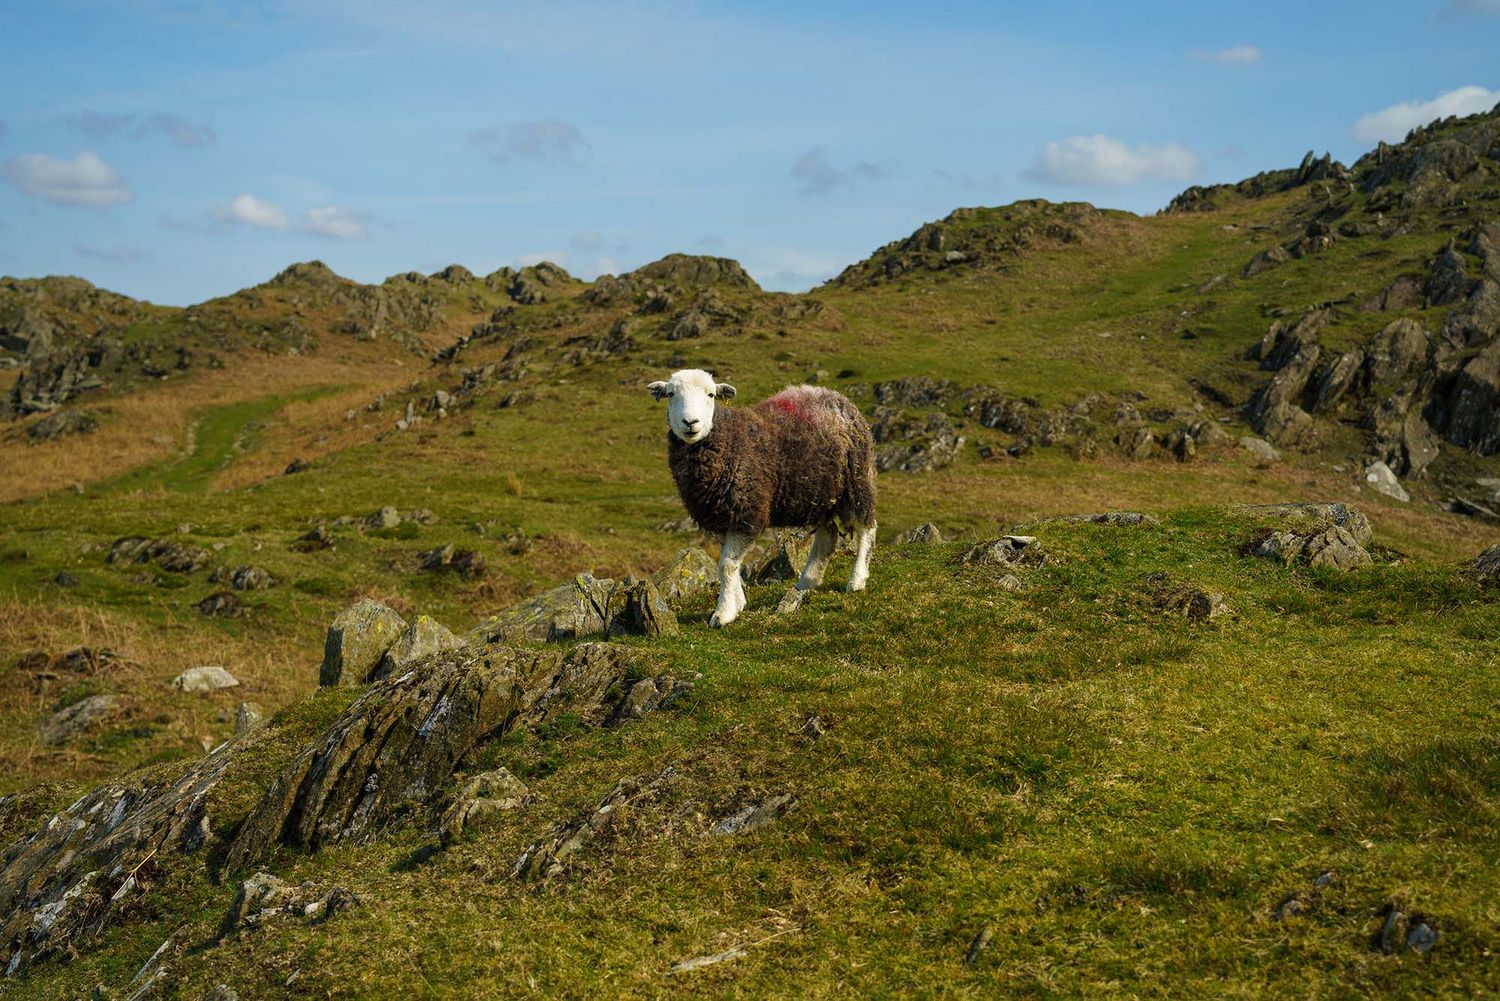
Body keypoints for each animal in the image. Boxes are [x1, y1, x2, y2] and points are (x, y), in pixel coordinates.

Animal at [647, 368, 877, 627]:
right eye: (670, 394)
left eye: (710, 394)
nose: (690, 423)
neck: (727, 441)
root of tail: (834, 395)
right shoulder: (722, 517)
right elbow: (731, 565)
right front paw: (737, 602)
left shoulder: (747, 512)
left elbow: (727, 565)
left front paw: (724, 613)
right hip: (819, 494)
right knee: (829, 535)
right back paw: (808, 581)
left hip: (856, 480)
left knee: (867, 527)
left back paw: (857, 580)